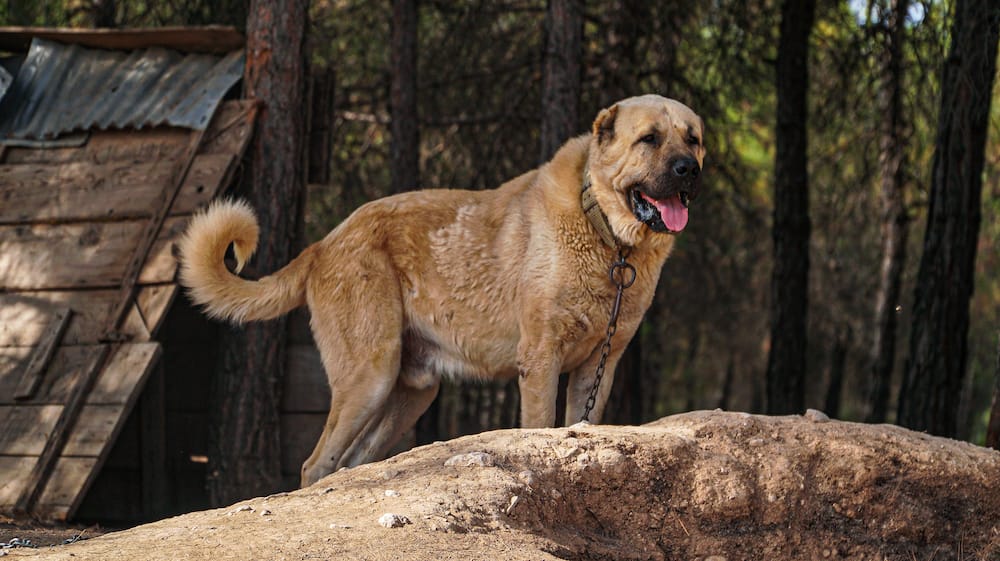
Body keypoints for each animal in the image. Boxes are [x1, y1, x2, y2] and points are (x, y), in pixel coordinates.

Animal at [182, 94, 712, 484]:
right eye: (649, 139)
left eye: (694, 140)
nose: (689, 169)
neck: (607, 235)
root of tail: (323, 243)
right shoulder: (541, 360)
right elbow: (540, 426)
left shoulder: (598, 369)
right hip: (369, 376)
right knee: (316, 466)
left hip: (410, 394)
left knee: (349, 465)